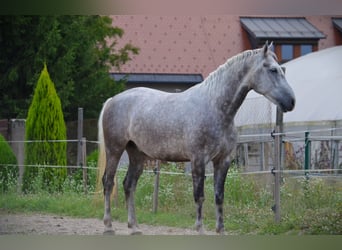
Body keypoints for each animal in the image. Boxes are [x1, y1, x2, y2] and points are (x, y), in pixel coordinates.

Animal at [97, 41, 296, 234]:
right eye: (272, 70)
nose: (291, 101)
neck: (215, 107)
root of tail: (112, 100)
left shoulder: (223, 160)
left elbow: (219, 196)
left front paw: (220, 230)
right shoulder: (198, 160)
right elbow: (199, 196)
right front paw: (200, 229)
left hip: (137, 154)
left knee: (129, 185)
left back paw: (134, 227)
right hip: (115, 150)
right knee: (108, 182)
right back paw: (108, 226)